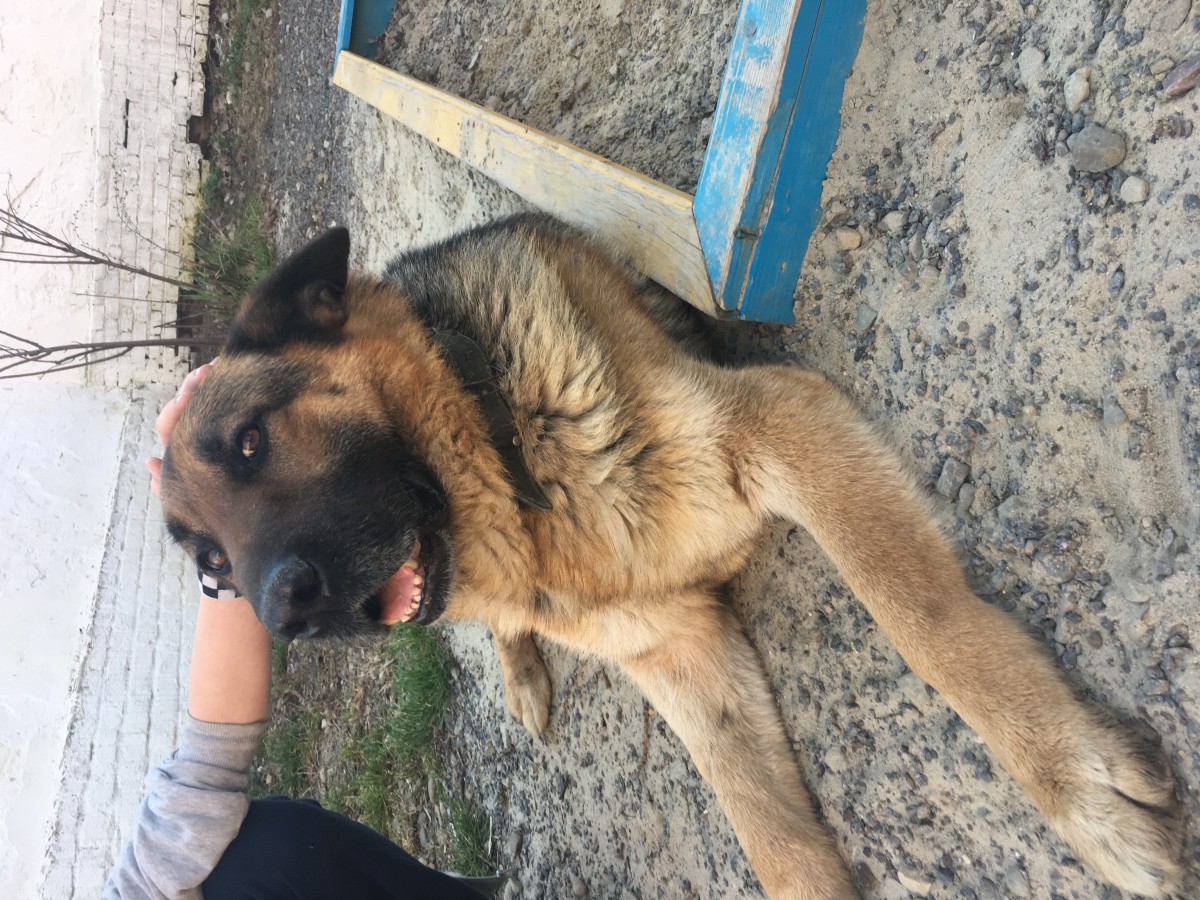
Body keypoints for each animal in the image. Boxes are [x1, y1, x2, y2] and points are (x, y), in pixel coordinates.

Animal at [161, 214, 1181, 899]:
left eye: (250, 441)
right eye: (210, 567)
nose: (280, 615)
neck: (512, 458)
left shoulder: (780, 426)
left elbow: (925, 621)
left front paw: (1076, 785)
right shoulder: (680, 652)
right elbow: (775, 842)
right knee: (503, 632)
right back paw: (520, 670)